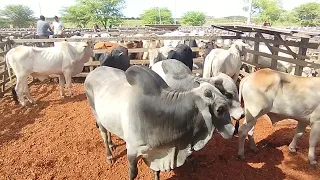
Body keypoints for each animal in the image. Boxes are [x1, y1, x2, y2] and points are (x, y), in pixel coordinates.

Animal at [85, 65, 235, 180]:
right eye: (220, 109)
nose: (233, 131)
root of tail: (93, 71)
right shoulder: (132, 151)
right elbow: (133, 174)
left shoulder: (156, 154)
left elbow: (156, 171)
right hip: (96, 114)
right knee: (104, 134)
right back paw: (109, 154)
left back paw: (112, 143)